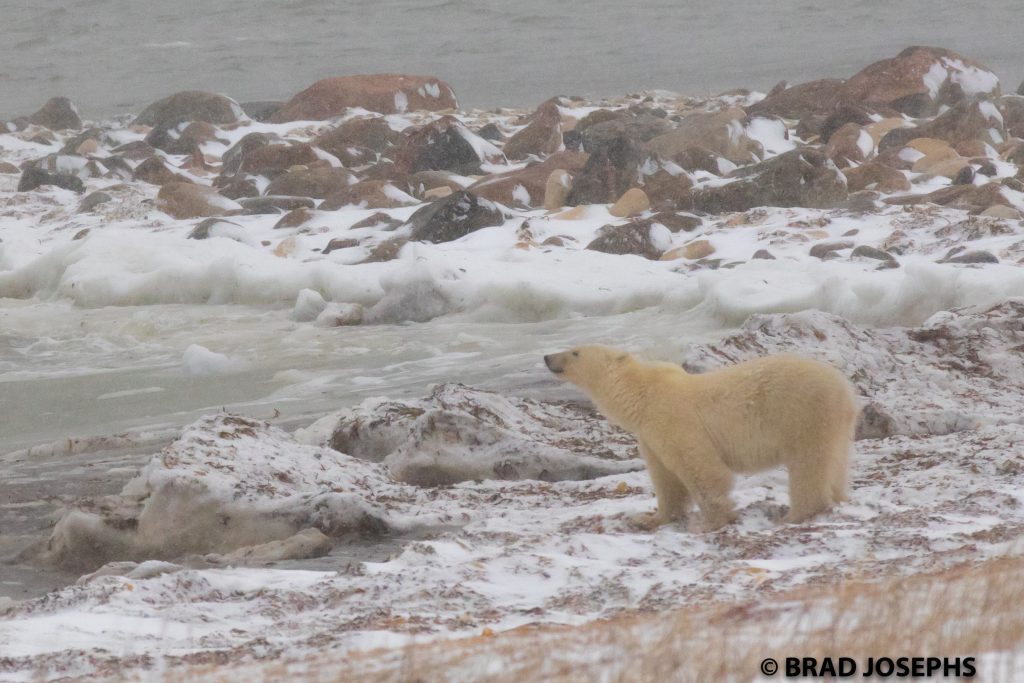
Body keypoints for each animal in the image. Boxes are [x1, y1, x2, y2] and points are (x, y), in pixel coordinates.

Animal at [543, 345, 857, 530]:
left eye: (575, 352)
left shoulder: (672, 418)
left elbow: (700, 468)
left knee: (808, 464)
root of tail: (844, 388)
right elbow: (667, 480)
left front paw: (712, 522)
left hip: (801, 413)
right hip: (836, 427)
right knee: (834, 462)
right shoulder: (650, 436)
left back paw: (793, 514)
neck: (641, 395)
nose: (547, 357)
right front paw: (648, 518)